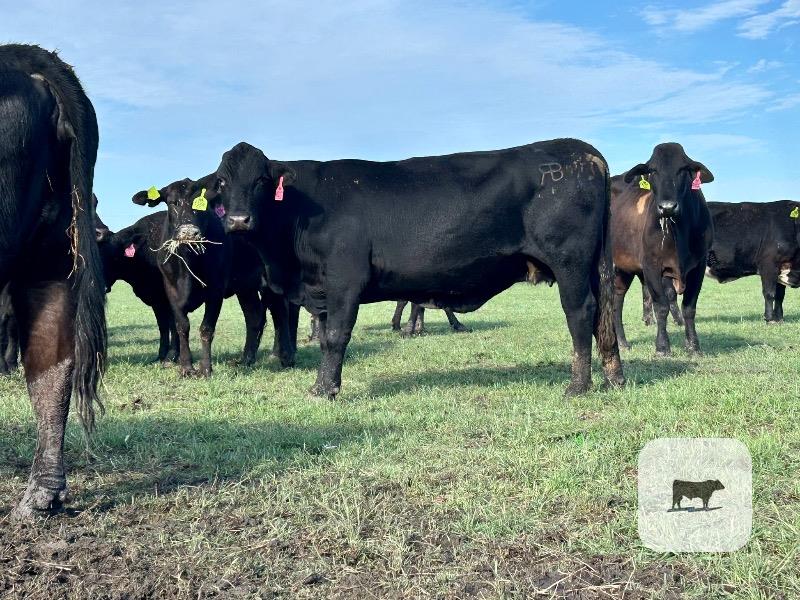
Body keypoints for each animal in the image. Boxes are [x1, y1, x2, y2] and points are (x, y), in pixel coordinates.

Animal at [132, 176, 296, 373]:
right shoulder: (171, 290)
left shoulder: (216, 291)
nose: (189, 232)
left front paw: (205, 369)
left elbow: (206, 328)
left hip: (272, 282)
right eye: (172, 202)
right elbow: (182, 327)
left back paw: (286, 357)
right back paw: (246, 360)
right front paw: (186, 367)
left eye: (202, 204)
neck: (187, 269)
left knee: (281, 313)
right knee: (255, 317)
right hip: (245, 287)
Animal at [211, 140, 624, 398]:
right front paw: (320, 385)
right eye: (222, 181)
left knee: (580, 312)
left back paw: (578, 385)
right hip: (591, 266)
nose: (238, 220)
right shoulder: (321, 289)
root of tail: (585, 153)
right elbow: (326, 335)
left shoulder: (344, 281)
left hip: (569, 262)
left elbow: (336, 337)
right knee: (602, 313)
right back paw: (614, 377)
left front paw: (326, 389)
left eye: (261, 180)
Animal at [611, 143, 714, 356]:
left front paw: (693, 346)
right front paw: (662, 346)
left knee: (618, 297)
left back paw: (623, 342)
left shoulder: (699, 266)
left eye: (683, 169)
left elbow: (689, 307)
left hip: (625, 267)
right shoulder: (651, 265)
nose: (667, 207)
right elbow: (661, 306)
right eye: (653, 171)